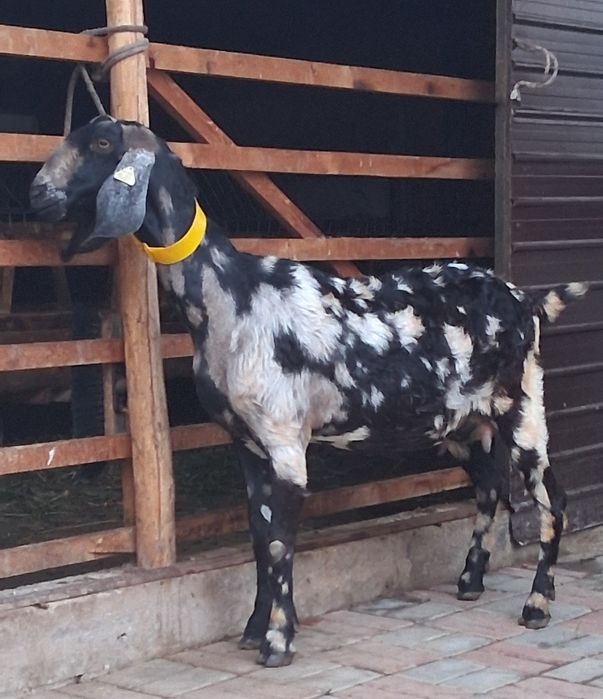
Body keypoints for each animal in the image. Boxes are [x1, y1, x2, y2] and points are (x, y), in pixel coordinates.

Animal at [30, 116, 587, 667]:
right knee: (490, 486)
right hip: (464, 421)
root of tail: (527, 302)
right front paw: (256, 628)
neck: (232, 296)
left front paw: (277, 641)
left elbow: (280, 543)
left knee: (551, 496)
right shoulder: (247, 444)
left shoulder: (283, 440)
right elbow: (260, 537)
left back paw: (537, 604)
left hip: (522, 404)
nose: (38, 194)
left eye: (102, 142)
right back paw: (471, 580)